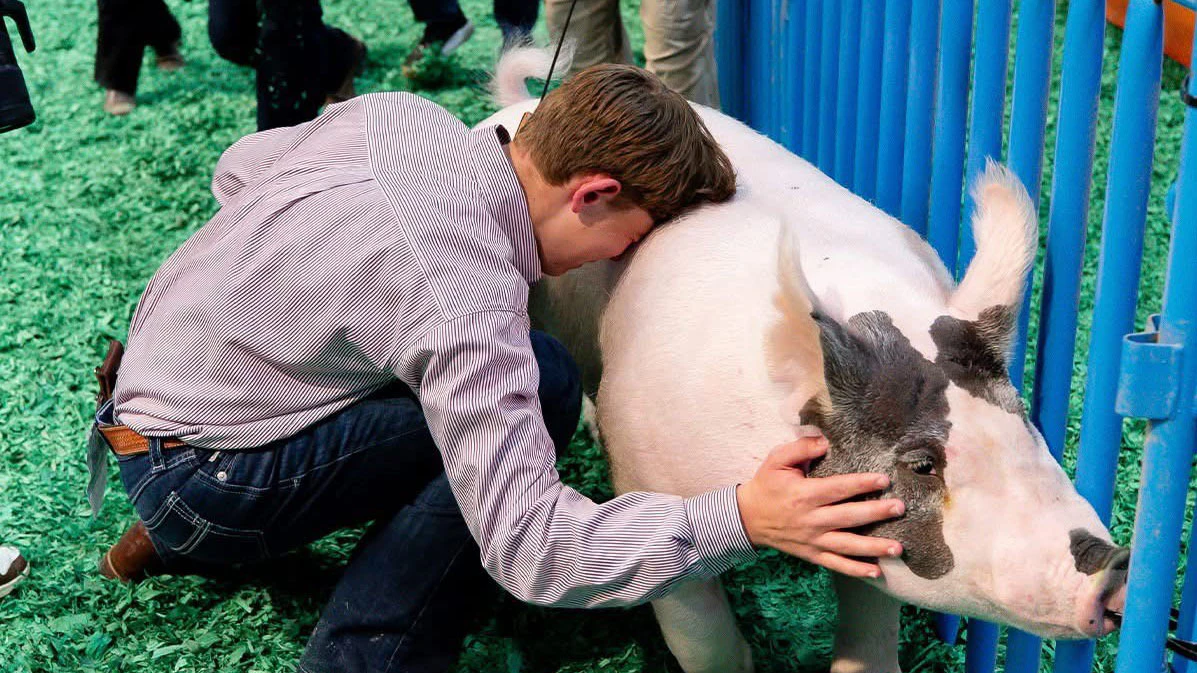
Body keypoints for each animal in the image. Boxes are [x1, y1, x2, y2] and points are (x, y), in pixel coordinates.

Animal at [480, 49, 1129, 673]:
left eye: (1023, 419)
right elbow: (705, 644)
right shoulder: (642, 486)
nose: (1116, 565)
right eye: (922, 464)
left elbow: (870, 648)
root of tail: (519, 106)